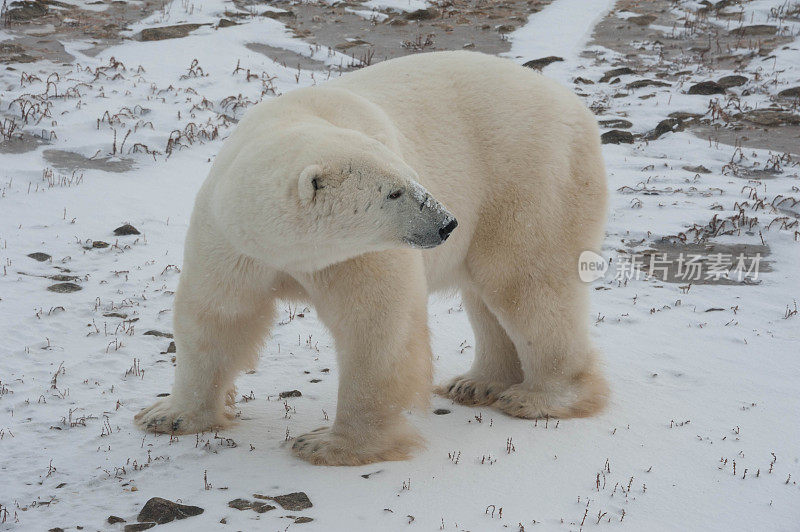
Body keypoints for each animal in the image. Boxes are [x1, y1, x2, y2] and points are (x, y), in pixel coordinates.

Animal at [134, 51, 608, 466]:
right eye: (394, 192)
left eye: (412, 177)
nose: (446, 223)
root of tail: (574, 105)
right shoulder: (231, 240)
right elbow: (215, 316)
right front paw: (169, 415)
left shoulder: (358, 253)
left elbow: (374, 323)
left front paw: (329, 445)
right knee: (486, 294)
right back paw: (477, 384)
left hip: (527, 176)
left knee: (524, 282)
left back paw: (539, 397)